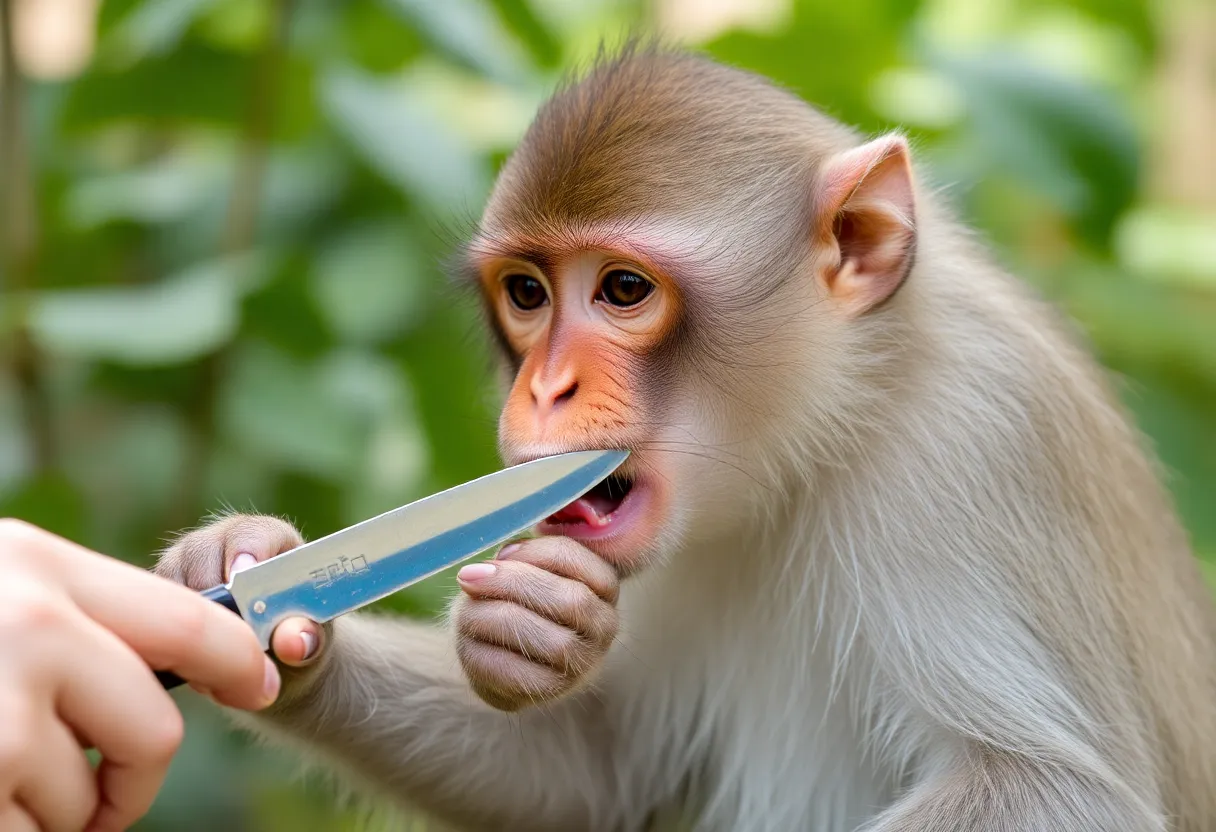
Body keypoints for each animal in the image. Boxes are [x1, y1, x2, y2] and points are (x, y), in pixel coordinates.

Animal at [154, 43, 1216, 832]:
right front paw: (232, 567)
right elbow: (596, 770)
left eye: (623, 289)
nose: (545, 388)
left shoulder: (981, 446)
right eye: (528, 293)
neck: (830, 437)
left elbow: (1063, 793)